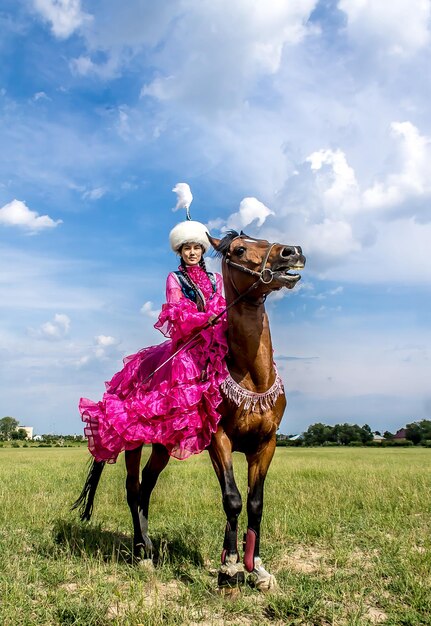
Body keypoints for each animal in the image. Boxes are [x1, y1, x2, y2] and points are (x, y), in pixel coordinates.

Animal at [72, 230, 306, 588]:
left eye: (264, 239)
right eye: (240, 249)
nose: (291, 252)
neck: (252, 376)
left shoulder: (266, 443)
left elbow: (255, 503)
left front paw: (256, 568)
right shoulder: (218, 439)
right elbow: (232, 499)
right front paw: (230, 568)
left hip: (163, 446)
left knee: (147, 486)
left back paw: (148, 546)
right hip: (133, 443)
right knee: (133, 489)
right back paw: (141, 553)